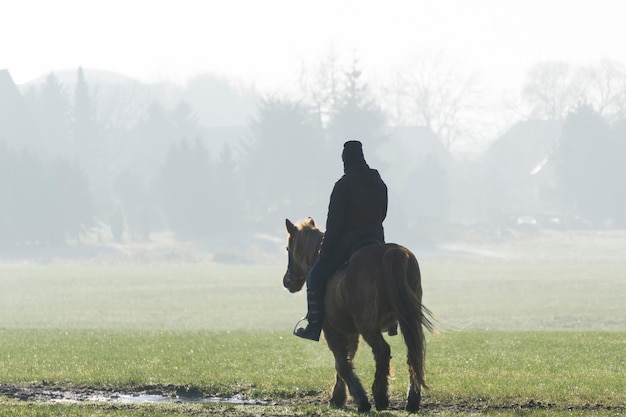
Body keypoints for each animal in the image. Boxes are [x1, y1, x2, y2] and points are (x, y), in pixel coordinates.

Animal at [280, 216, 432, 412]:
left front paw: (358, 399)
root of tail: (392, 253)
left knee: (383, 351)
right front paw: (338, 397)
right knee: (413, 353)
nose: (287, 281)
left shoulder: (332, 330)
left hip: (368, 326)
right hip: (408, 320)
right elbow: (347, 359)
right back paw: (412, 400)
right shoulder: (350, 332)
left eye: (288, 248)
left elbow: (341, 363)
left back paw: (380, 396)